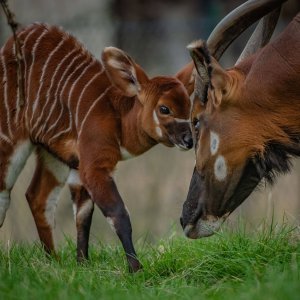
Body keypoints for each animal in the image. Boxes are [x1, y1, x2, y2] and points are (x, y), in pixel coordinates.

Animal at [0, 22, 195, 272]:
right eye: (164, 109)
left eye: (189, 106)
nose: (189, 140)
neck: (117, 115)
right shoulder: (94, 166)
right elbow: (118, 214)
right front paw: (136, 269)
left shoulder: (79, 166)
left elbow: (84, 215)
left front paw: (82, 263)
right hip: (10, 142)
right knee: (6, 194)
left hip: (52, 156)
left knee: (37, 197)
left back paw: (54, 262)